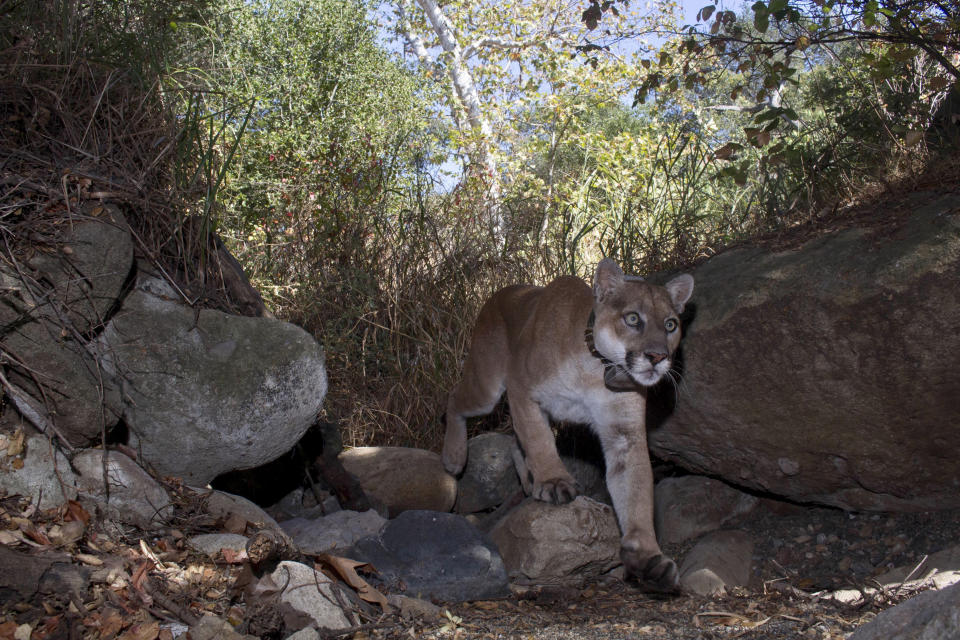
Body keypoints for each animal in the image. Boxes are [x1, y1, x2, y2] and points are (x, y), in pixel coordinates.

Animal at [442, 258, 688, 592]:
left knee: (514, 439)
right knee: (455, 398)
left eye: (671, 325)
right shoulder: (522, 388)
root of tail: (503, 291)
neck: (596, 366)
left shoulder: (624, 433)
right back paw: (453, 457)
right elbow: (539, 440)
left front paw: (648, 556)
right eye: (633, 318)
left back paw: (528, 481)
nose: (657, 356)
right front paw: (554, 481)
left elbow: (635, 490)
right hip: (487, 386)